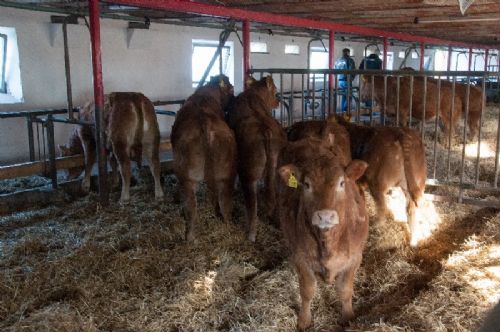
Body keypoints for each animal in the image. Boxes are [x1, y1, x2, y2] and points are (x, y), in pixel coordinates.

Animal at [170, 75, 236, 241]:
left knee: (191, 208)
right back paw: (227, 225)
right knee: (225, 202)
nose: (235, 100)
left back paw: (190, 237)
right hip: (227, 174)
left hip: (186, 177)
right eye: (231, 89)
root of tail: (204, 122)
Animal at [226, 75, 286, 241]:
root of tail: (265, 129)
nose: (278, 102)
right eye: (276, 91)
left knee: (252, 206)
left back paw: (251, 235)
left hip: (249, 174)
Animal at [280, 134, 370, 330]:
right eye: (306, 184)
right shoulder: (300, 257)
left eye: (341, 183)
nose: (325, 216)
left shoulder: (355, 257)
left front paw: (348, 317)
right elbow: (307, 290)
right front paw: (304, 321)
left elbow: (344, 289)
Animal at [332, 115, 426, 246]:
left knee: (383, 209)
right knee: (411, 211)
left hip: (377, 183)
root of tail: (401, 133)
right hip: (417, 182)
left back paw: (375, 229)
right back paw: (413, 242)